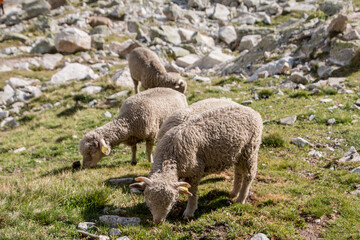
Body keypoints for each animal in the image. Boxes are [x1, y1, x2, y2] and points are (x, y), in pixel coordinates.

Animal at [131, 105, 262, 223]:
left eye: (172, 202)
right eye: (148, 200)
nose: (158, 221)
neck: (169, 156)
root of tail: (252, 111)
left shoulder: (195, 171)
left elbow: (192, 193)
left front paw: (189, 212)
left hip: (250, 149)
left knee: (249, 175)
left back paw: (241, 198)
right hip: (239, 153)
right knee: (238, 172)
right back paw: (234, 192)